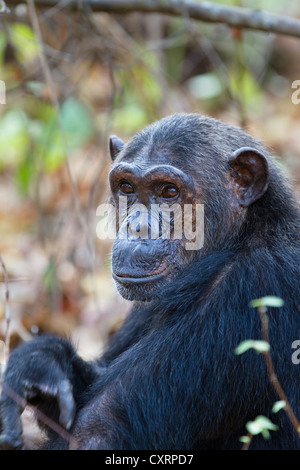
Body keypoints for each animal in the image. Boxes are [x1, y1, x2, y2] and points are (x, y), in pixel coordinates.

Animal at [0, 112, 300, 450]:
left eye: (169, 191)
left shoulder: (250, 289)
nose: (137, 227)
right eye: (127, 187)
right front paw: (37, 363)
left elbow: (94, 431)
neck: (240, 238)